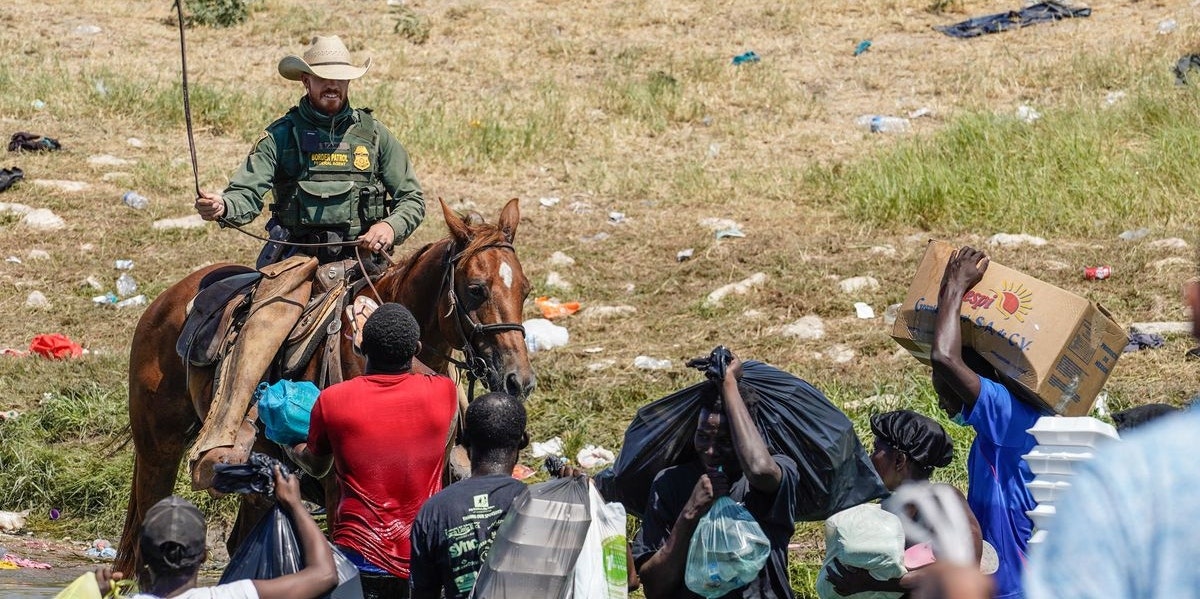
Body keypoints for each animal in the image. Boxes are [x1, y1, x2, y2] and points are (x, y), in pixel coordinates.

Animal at [113, 200, 535, 576]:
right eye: (476, 289)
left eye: (526, 290)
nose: (519, 379)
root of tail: (167, 300)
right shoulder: (339, 490)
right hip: (158, 450)